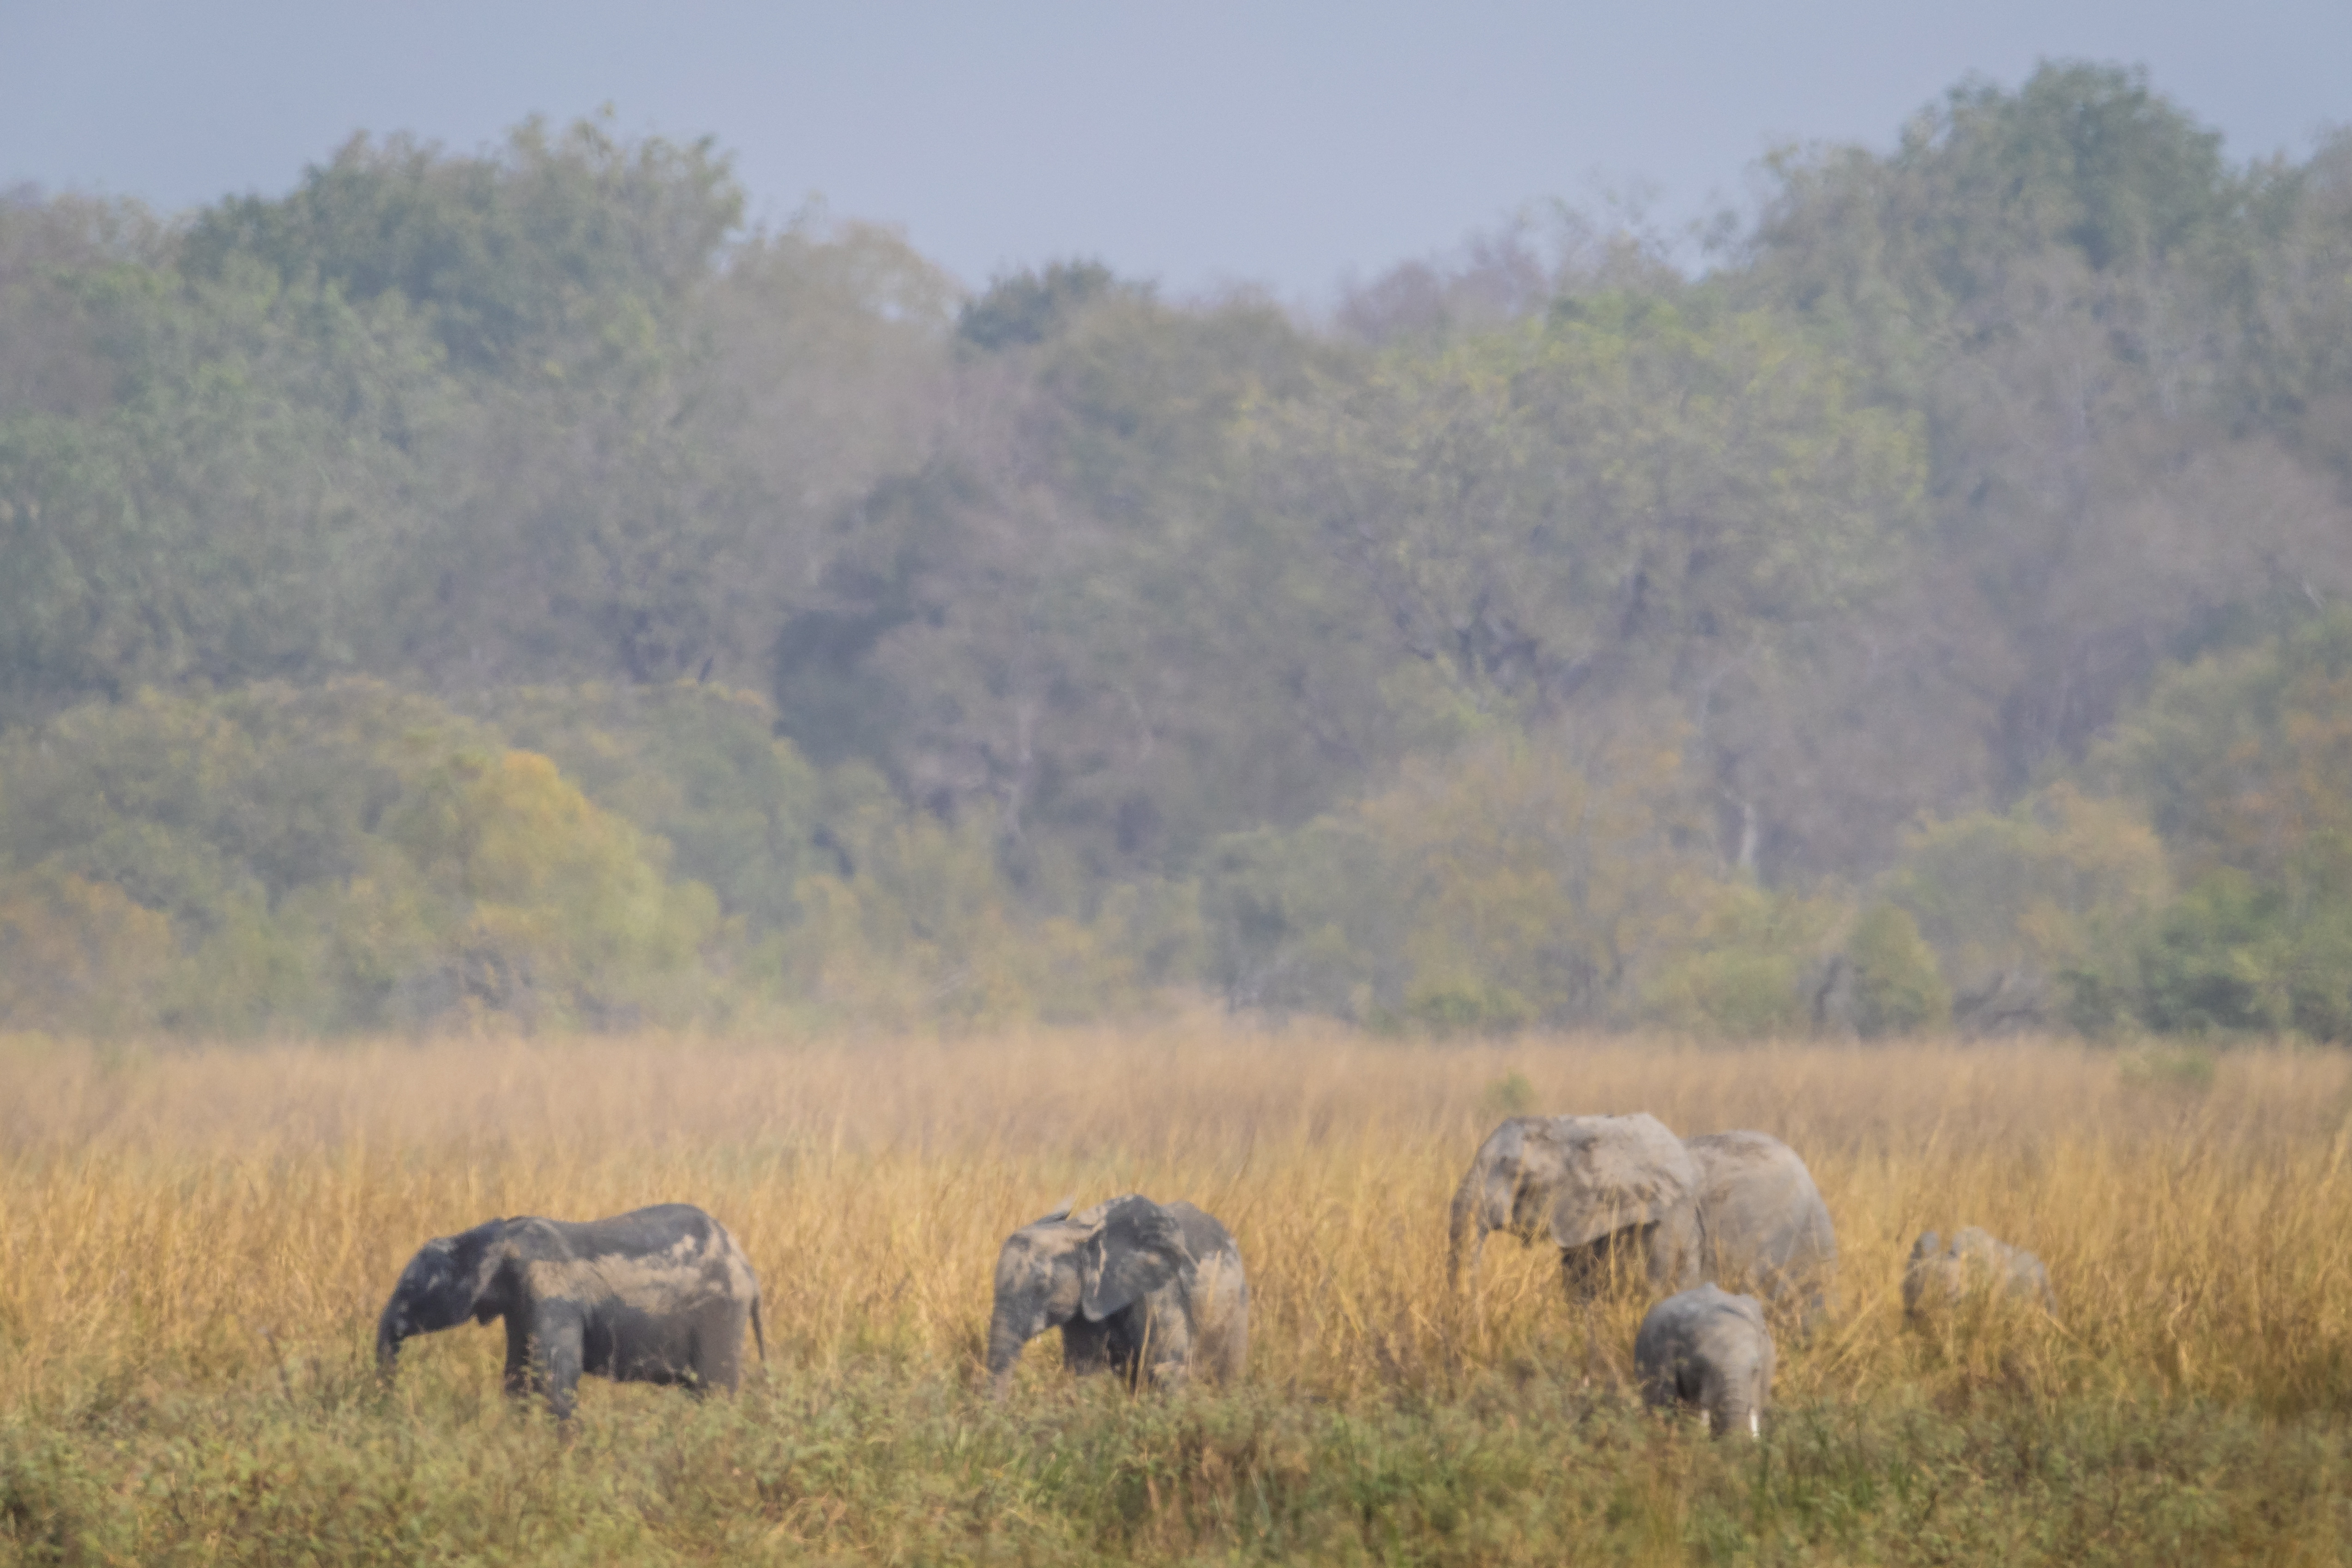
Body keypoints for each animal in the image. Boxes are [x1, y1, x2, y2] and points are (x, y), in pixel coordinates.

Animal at [376, 1203, 763, 1419]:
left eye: (409, 1290)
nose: (391, 1407)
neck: (498, 1237)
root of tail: (749, 1270)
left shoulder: (551, 1294)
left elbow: (556, 1378)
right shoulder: (520, 1308)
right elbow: (517, 1376)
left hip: (721, 1315)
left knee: (715, 1391)